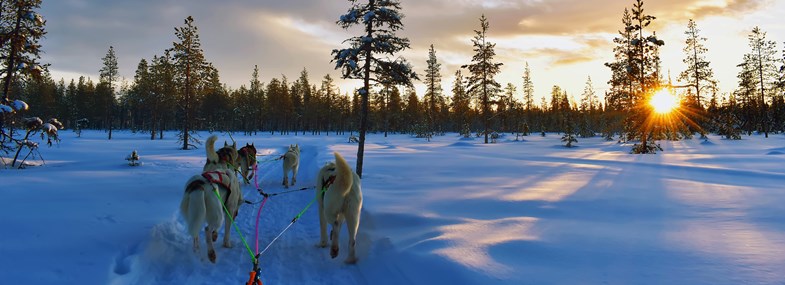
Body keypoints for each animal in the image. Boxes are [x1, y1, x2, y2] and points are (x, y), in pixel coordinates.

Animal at [181, 134, 242, 262]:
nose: (236, 215)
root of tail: (198, 185)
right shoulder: (229, 210)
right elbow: (226, 231)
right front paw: (226, 244)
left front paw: (216, 235)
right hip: (217, 215)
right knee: (207, 229)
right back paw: (211, 253)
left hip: (195, 215)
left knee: (196, 233)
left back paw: (196, 249)